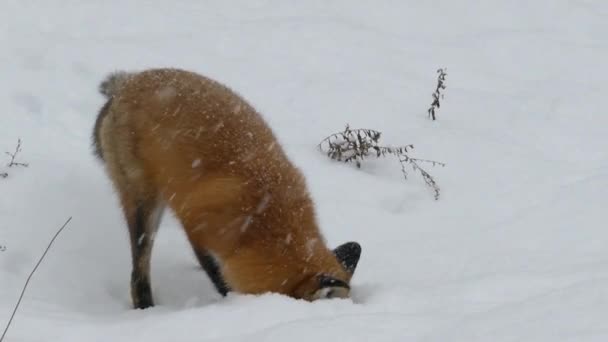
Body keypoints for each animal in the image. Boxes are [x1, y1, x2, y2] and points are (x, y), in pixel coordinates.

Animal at [93, 68, 360, 308]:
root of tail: (127, 83)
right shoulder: (198, 225)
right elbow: (217, 273)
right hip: (144, 205)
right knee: (138, 274)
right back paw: (145, 306)